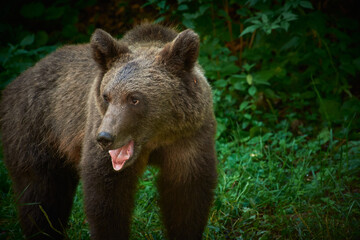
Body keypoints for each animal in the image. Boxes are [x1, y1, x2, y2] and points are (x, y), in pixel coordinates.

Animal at [0, 23, 217, 239]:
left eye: (134, 98)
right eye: (107, 96)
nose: (105, 137)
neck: (155, 141)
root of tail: (16, 81)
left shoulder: (189, 139)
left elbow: (187, 197)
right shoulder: (98, 134)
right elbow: (106, 200)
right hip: (35, 130)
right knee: (41, 193)